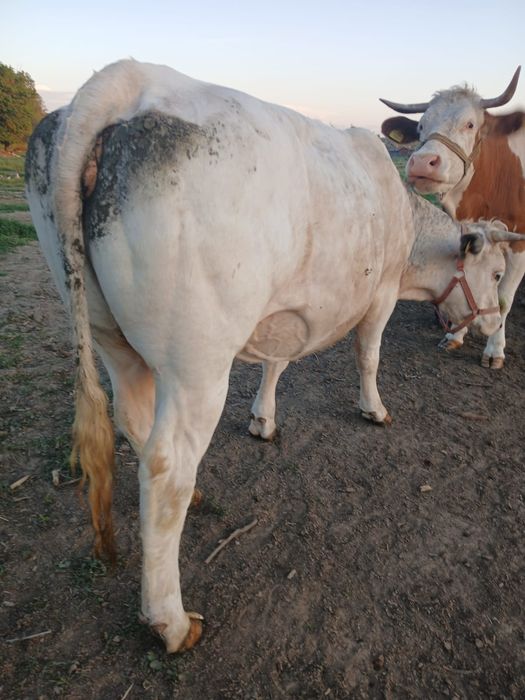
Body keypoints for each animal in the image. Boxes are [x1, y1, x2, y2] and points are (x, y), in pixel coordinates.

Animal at [380, 67, 525, 368]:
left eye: (470, 124)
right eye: (420, 127)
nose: (422, 163)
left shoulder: (520, 242)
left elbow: (503, 298)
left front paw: (495, 349)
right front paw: (456, 335)